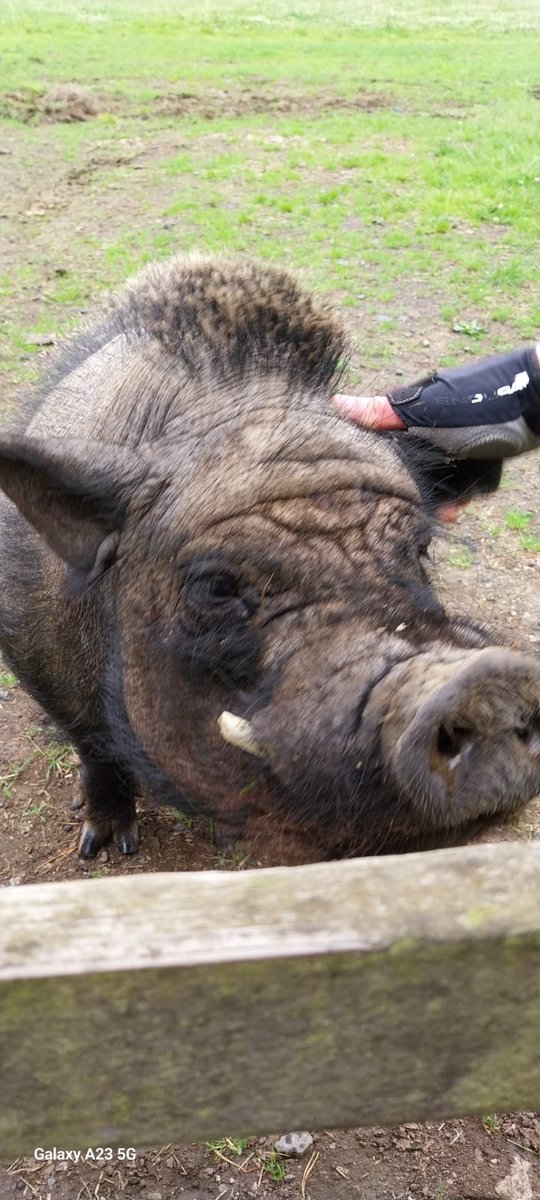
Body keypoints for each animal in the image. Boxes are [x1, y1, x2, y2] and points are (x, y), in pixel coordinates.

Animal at [0, 254, 539, 863]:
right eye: (214, 586)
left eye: (420, 548)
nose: (482, 678)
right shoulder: (31, 651)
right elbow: (95, 750)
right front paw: (106, 846)